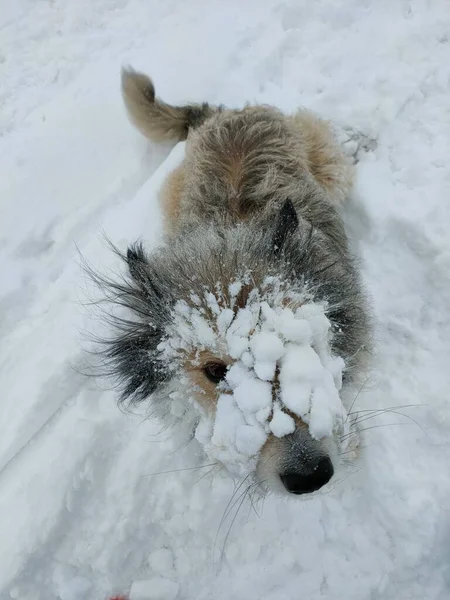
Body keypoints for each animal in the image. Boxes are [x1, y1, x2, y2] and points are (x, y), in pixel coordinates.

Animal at [95, 68, 372, 494]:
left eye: (297, 342)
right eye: (215, 371)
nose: (310, 475)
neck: (231, 245)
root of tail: (225, 112)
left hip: (324, 158)